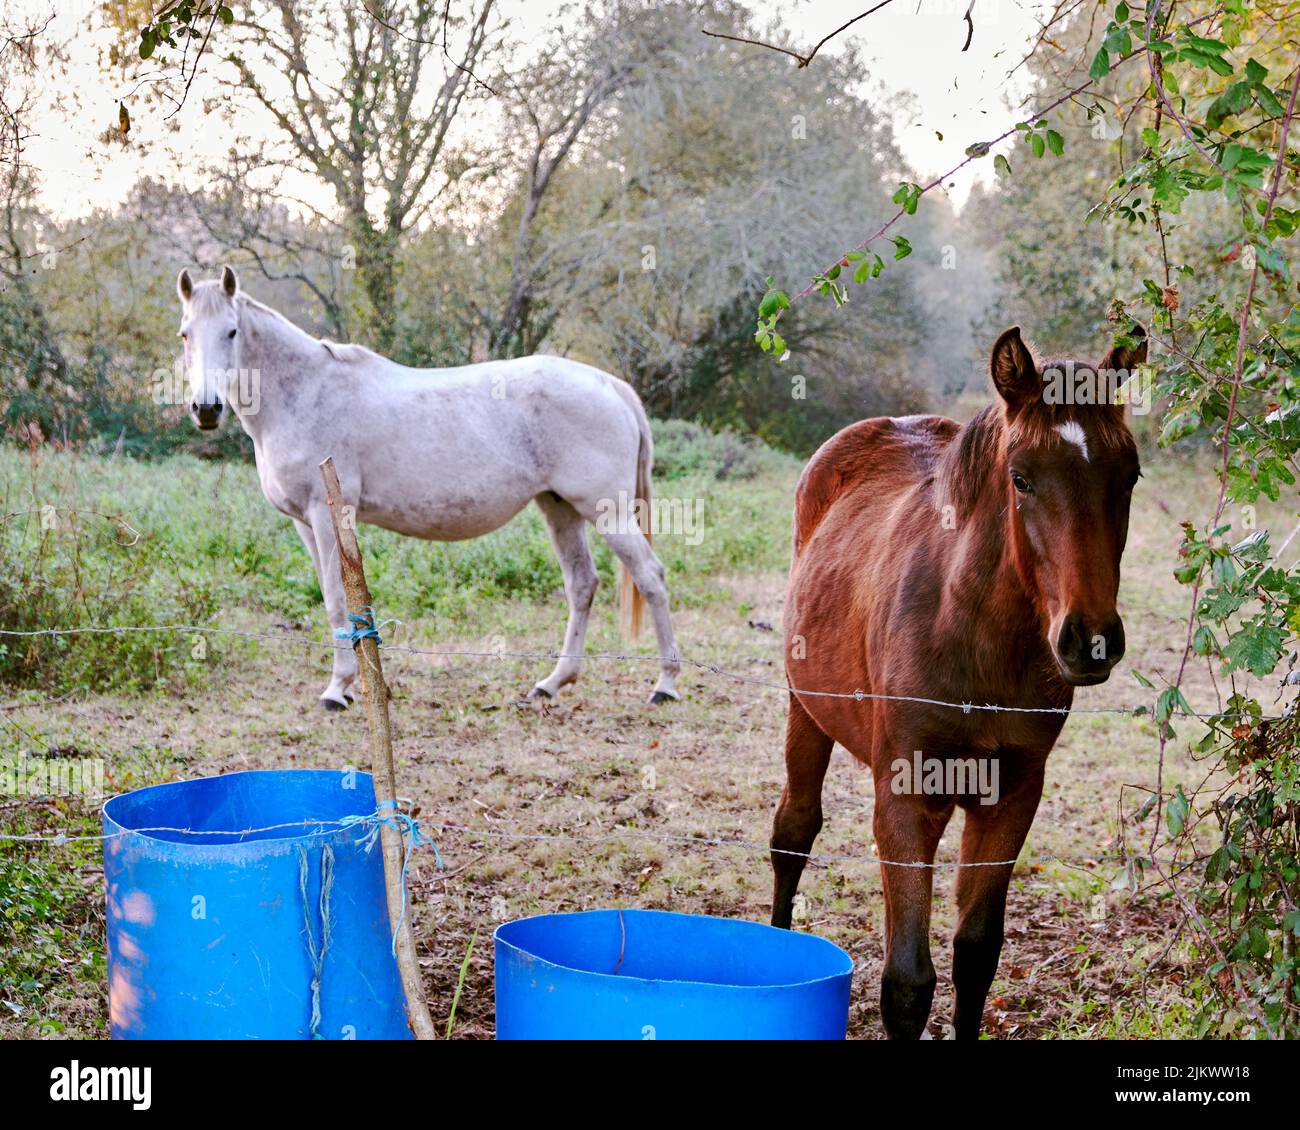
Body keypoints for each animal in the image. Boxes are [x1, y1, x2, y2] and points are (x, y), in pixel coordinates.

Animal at [178, 266, 686, 707]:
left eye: (231, 332)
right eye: (186, 333)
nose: (206, 409)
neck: (306, 392)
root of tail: (609, 384)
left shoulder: (327, 515)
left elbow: (338, 601)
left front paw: (338, 689)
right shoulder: (305, 524)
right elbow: (331, 600)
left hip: (607, 511)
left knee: (651, 578)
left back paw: (665, 684)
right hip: (559, 508)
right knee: (582, 584)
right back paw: (553, 682)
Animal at [769, 326, 1149, 1040]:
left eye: (1129, 476)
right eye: (1021, 478)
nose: (1089, 639)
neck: (975, 642)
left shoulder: (1012, 796)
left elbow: (976, 956)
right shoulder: (905, 798)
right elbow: (907, 983)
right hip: (806, 712)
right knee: (793, 835)